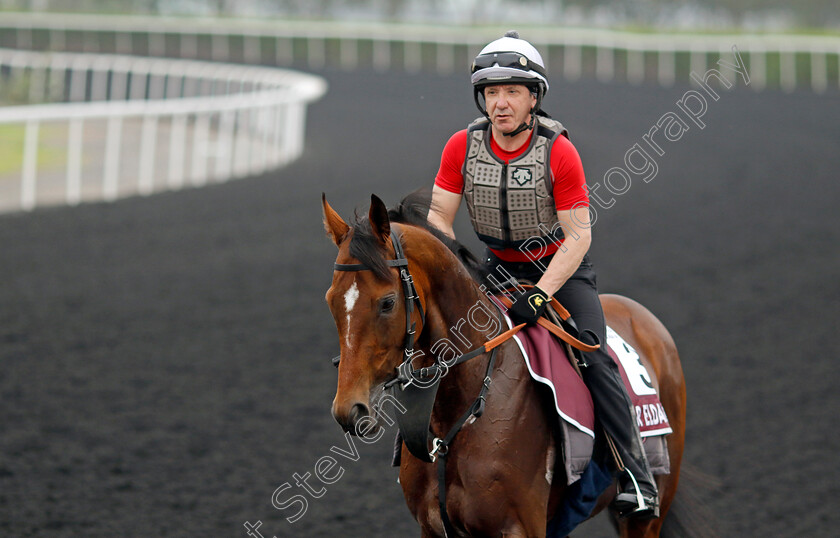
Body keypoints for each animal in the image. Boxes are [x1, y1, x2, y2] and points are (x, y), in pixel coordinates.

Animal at [324, 193, 684, 536]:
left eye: (387, 303)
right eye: (330, 300)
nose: (349, 410)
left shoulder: (519, 526)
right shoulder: (433, 527)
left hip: (647, 515)